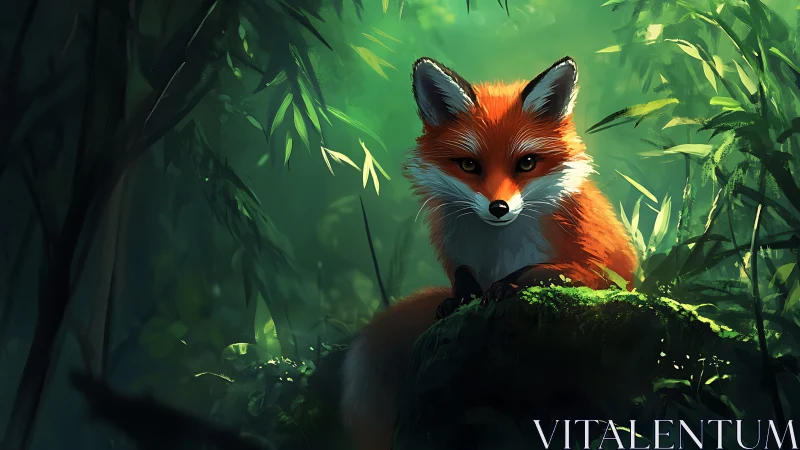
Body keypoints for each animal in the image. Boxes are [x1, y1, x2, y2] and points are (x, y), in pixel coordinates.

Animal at [340, 56, 638, 450]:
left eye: (526, 163)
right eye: (469, 165)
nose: (499, 208)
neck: (500, 249)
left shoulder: (608, 269)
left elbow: (546, 271)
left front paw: (509, 284)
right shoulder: (458, 255)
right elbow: (463, 280)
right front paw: (461, 298)